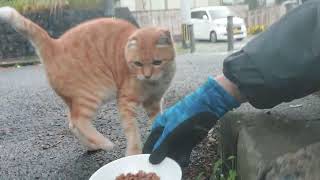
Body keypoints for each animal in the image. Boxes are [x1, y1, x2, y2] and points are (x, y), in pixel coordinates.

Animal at [0, 6, 175, 155]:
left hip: (75, 100)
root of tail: (54, 44)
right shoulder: (126, 102)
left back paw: (93, 146)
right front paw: (134, 153)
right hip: (93, 94)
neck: (153, 83)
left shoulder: (153, 103)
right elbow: (132, 130)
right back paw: (105, 143)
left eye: (157, 62)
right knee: (79, 120)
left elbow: (158, 122)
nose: (147, 75)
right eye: (138, 64)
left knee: (72, 124)